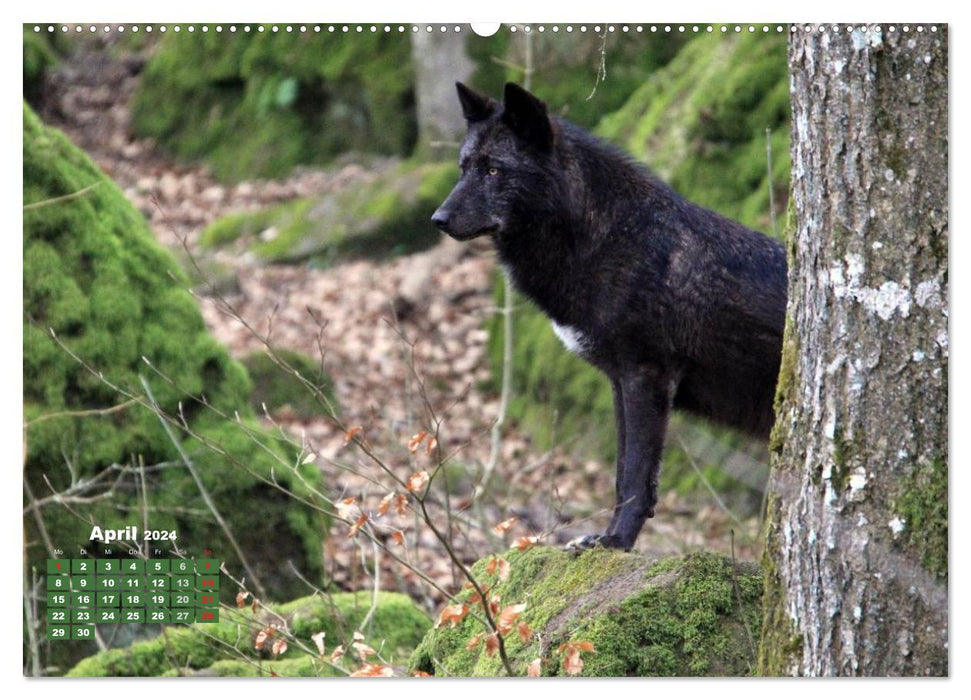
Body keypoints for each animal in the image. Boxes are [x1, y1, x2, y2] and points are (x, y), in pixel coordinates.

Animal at [432, 83, 788, 552]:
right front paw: (606, 537)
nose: (437, 219)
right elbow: (623, 476)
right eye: (463, 168)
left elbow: (636, 477)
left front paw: (616, 542)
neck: (609, 238)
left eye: (493, 170)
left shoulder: (646, 375)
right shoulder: (620, 381)